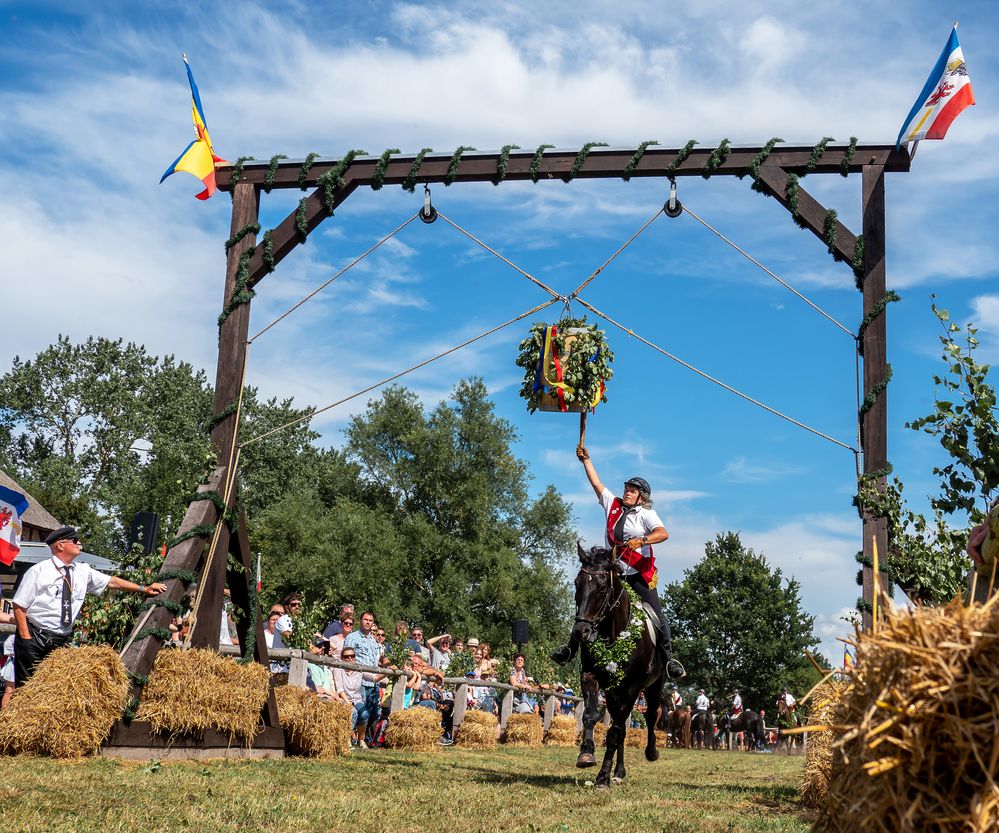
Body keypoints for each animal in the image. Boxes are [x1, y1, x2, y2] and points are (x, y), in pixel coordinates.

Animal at [572, 544, 664, 788]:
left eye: (602, 587)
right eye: (577, 583)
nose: (581, 632)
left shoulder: (631, 688)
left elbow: (615, 732)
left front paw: (602, 778)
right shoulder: (591, 676)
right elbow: (591, 715)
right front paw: (586, 754)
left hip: (653, 686)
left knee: (650, 715)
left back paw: (651, 752)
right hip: (615, 693)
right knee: (620, 726)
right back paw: (619, 772)